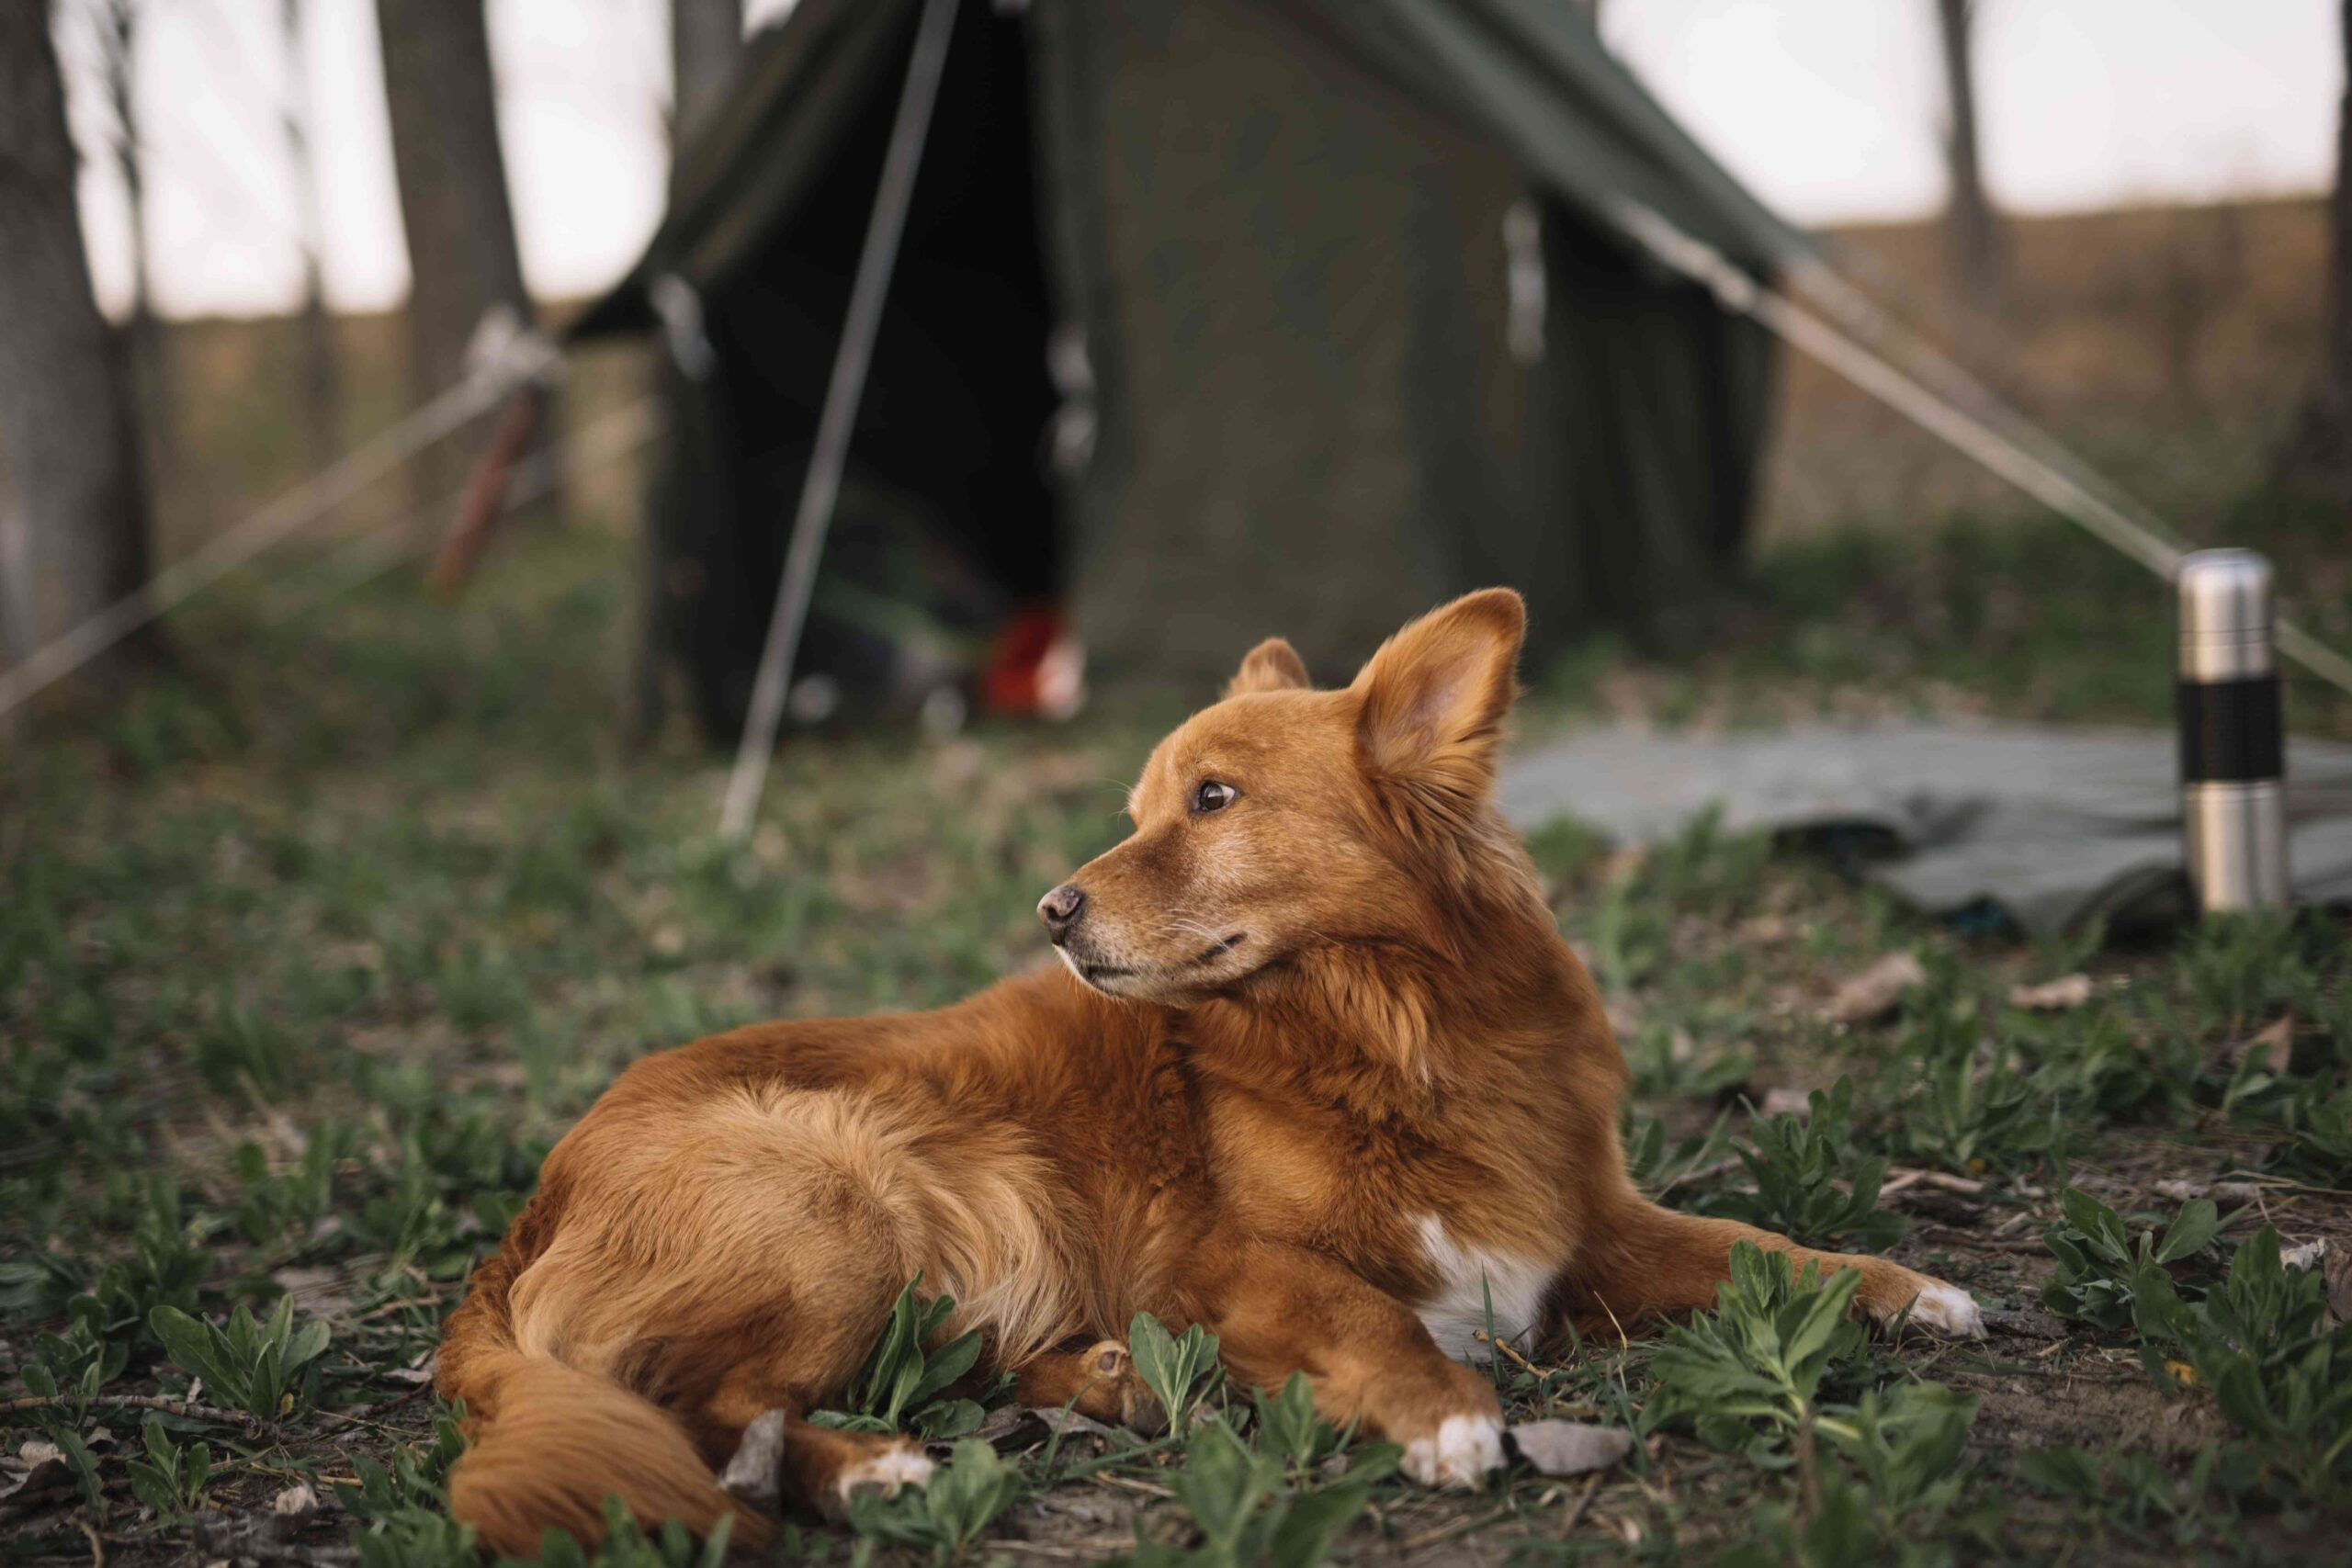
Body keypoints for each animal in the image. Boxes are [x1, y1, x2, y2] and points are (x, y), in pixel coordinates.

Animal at [433, 592, 1975, 1561]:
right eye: (1139, 809)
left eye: (1214, 799)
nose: (1052, 910)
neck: (1386, 1028)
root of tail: (539, 1193)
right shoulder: (1229, 1261)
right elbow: (1370, 1315)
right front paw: (1450, 1413)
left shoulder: (1583, 1220)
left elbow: (1760, 1243)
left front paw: (1911, 1285)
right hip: (864, 1194)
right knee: (695, 1412)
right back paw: (879, 1464)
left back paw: (1103, 1381)